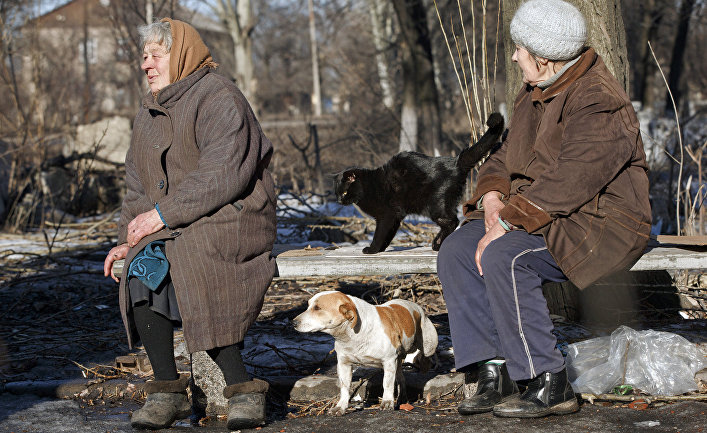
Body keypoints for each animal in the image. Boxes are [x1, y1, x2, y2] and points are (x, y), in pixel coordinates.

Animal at [292, 290, 436, 416]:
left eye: (317, 308)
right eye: (308, 305)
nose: (293, 322)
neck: (352, 335)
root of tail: (416, 306)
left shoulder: (389, 361)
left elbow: (387, 383)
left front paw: (387, 402)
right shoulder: (344, 365)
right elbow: (344, 387)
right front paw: (341, 407)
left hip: (429, 347)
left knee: (426, 357)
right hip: (398, 362)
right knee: (401, 378)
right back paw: (402, 399)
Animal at [336, 112, 506, 253]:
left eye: (344, 192)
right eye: (337, 193)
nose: (339, 200)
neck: (369, 186)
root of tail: (456, 162)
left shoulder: (386, 215)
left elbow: (379, 234)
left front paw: (372, 249)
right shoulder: (395, 216)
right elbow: (388, 235)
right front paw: (381, 249)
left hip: (435, 206)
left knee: (453, 221)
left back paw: (437, 244)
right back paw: (437, 243)